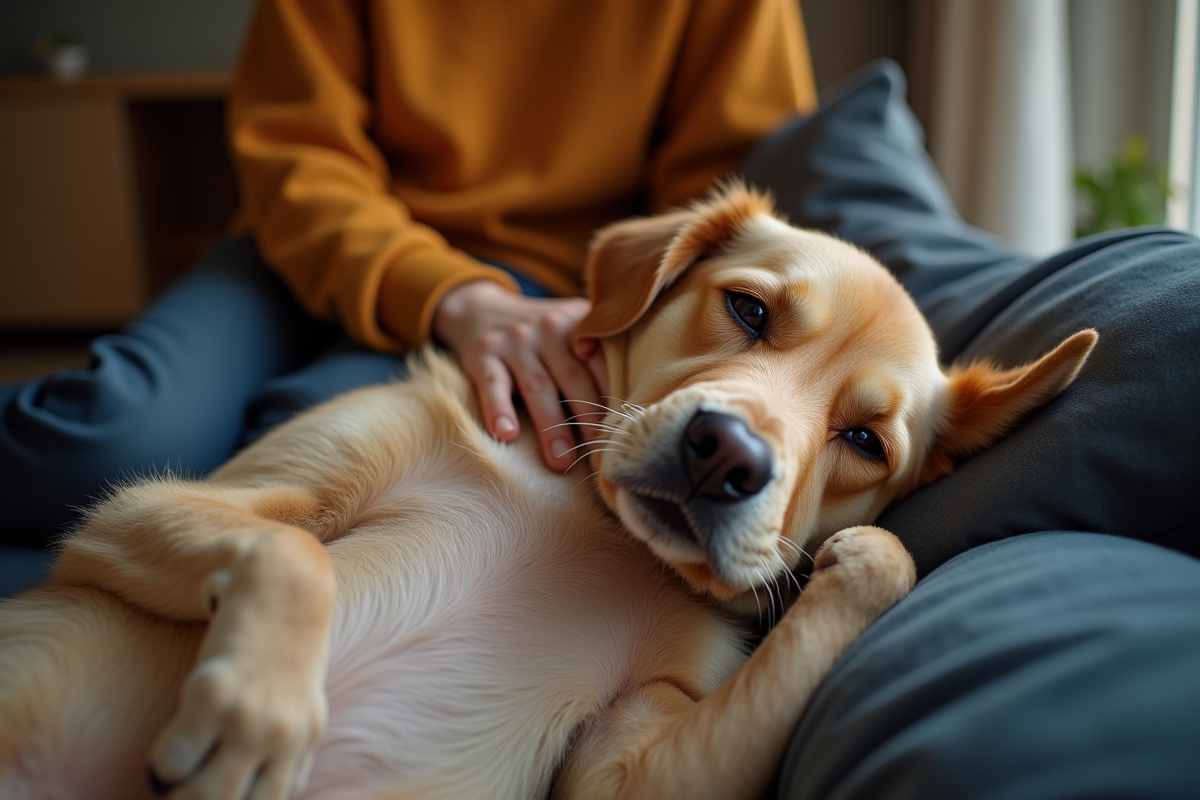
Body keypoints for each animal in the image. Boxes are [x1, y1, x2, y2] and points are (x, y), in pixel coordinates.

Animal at [0, 184, 1099, 796]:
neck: (595, 524)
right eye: (749, 308)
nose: (725, 456)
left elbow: (887, 558)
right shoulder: (133, 513)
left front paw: (860, 551)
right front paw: (257, 713)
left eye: (865, 439)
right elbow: (294, 546)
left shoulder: (634, 761)